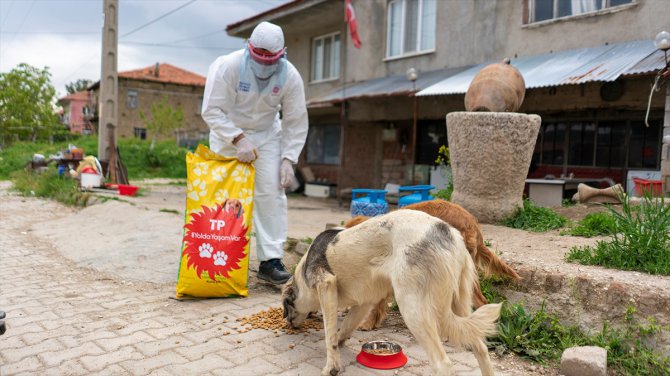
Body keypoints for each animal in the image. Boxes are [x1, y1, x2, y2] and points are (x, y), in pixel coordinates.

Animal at [280, 210, 502, 374]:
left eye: (287, 306)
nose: (289, 323)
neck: (304, 269)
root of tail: (449, 233)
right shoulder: (364, 303)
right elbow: (344, 329)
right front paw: (341, 341)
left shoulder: (327, 286)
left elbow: (329, 335)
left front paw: (331, 367)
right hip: (461, 305)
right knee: (481, 348)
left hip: (413, 309)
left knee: (442, 364)